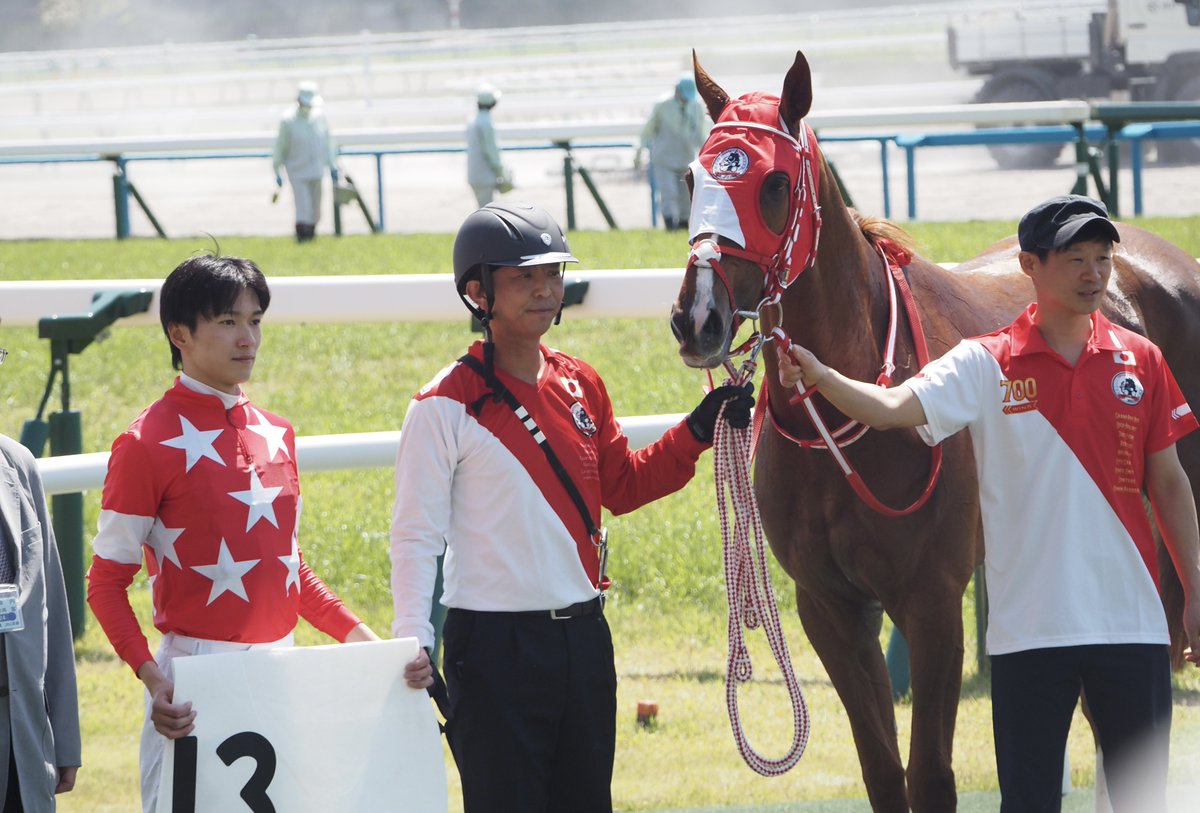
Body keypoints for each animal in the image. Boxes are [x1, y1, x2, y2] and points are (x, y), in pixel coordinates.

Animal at [667, 52, 1200, 813]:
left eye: (772, 182)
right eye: (693, 178)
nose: (697, 318)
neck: (853, 415)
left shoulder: (932, 604)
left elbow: (931, 776)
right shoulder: (831, 609)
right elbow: (885, 773)